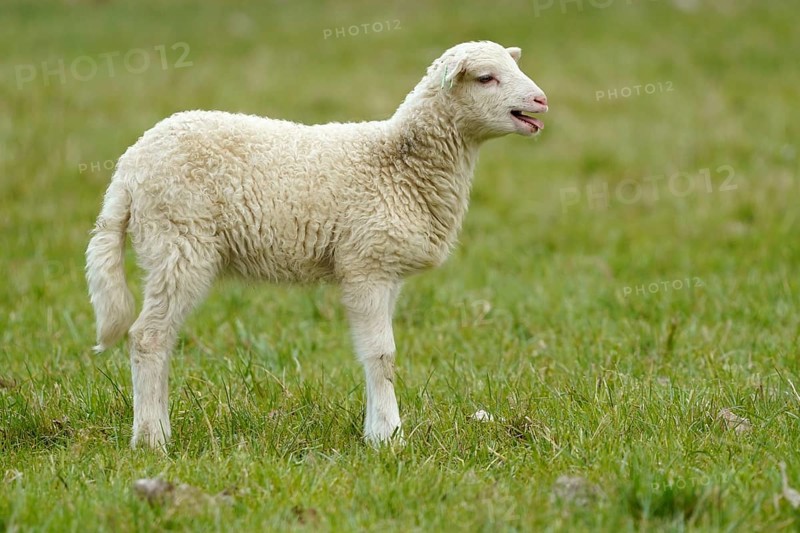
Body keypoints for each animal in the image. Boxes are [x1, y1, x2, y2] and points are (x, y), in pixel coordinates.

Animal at [85, 40, 549, 449]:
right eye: (486, 78)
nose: (541, 101)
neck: (398, 163)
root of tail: (128, 168)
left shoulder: (385, 269)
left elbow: (375, 354)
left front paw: (376, 432)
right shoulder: (366, 264)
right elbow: (382, 355)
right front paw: (390, 438)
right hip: (178, 242)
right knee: (148, 337)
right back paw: (152, 440)